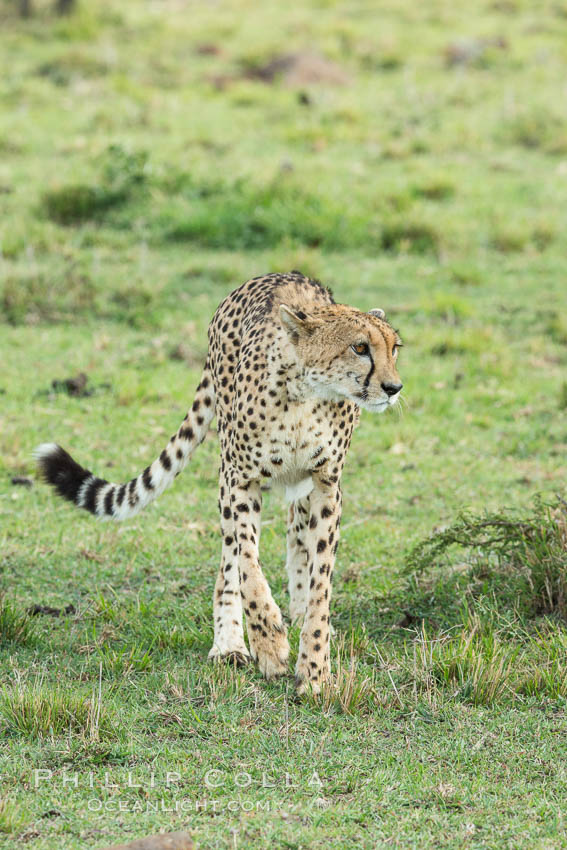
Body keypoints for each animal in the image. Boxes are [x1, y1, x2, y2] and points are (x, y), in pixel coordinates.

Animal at [35, 274, 404, 692]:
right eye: (360, 348)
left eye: (394, 348)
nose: (394, 388)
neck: (304, 397)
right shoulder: (239, 478)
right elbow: (247, 565)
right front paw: (269, 643)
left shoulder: (327, 485)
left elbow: (319, 579)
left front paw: (314, 668)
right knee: (231, 559)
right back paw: (231, 643)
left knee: (295, 536)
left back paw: (294, 610)